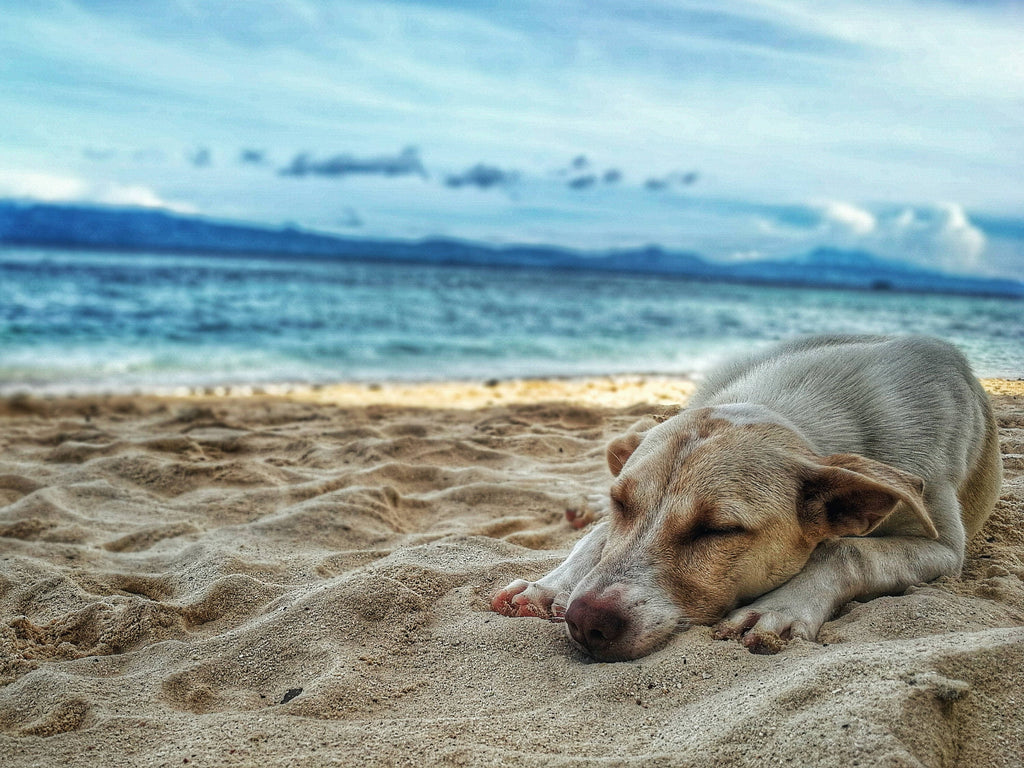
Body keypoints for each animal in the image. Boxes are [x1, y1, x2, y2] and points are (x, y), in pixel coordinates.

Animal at [491, 335, 1003, 663]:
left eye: (717, 530)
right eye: (620, 505)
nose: (585, 621)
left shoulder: (943, 547)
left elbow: (847, 548)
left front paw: (782, 607)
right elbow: (598, 539)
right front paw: (551, 585)